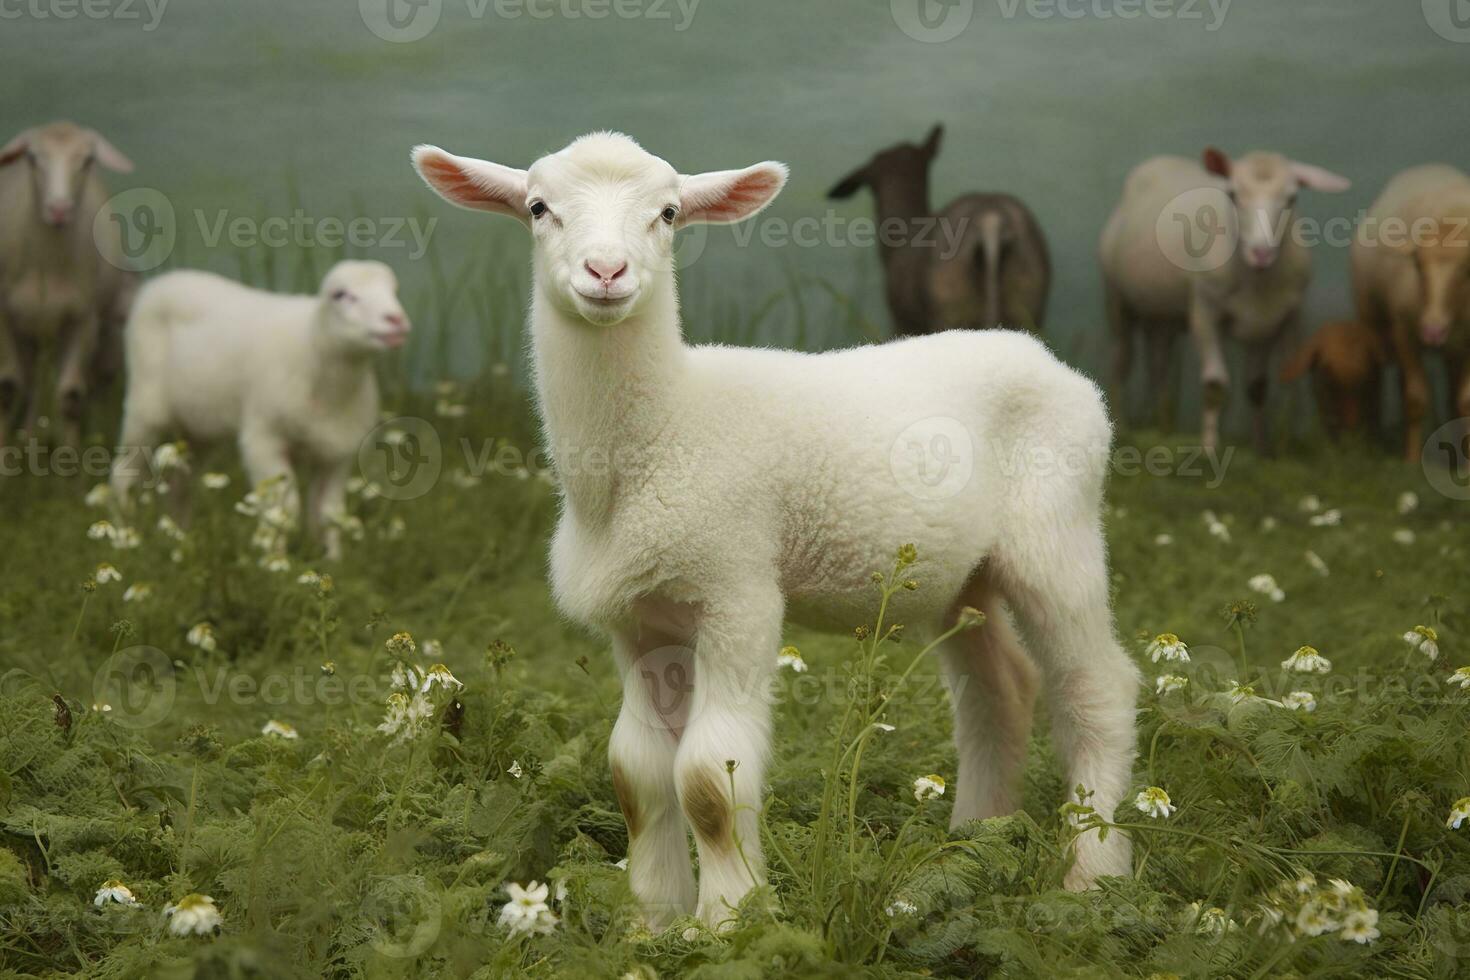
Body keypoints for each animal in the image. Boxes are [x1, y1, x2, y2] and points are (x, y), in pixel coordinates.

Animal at [0, 120, 137, 449]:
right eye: (32, 157)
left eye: (87, 160)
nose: (59, 209)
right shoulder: (5, 316)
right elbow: (8, 388)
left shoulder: (82, 320)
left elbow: (71, 395)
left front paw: (70, 458)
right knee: (30, 381)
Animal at [109, 258, 411, 558]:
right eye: (341, 294)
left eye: (394, 291)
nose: (396, 320)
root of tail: (164, 281)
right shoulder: (264, 440)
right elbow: (282, 509)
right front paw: (274, 560)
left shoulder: (337, 453)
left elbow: (330, 513)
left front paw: (332, 561)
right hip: (145, 407)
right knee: (124, 474)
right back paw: (125, 535)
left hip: (198, 429)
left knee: (180, 485)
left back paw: (180, 538)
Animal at [417, 134, 1146, 934]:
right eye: (538, 208)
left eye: (667, 213)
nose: (606, 273)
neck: (663, 430)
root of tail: (1040, 355)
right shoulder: (639, 619)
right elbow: (636, 773)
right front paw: (652, 921)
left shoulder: (736, 592)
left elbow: (707, 777)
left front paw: (727, 920)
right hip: (963, 572)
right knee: (1000, 687)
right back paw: (972, 840)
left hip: (1057, 532)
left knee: (1097, 688)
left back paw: (1091, 871)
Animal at [1099, 146, 1346, 452]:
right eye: (1233, 194)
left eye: (1292, 198)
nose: (1261, 253)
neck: (1256, 281)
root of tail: (1160, 161)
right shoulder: (1205, 311)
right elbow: (1214, 385)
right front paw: (1209, 448)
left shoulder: (1278, 320)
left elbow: (1257, 387)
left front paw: (1262, 448)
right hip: (1116, 296)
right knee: (1121, 360)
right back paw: (1122, 426)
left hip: (1163, 313)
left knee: (1159, 363)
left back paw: (1162, 424)